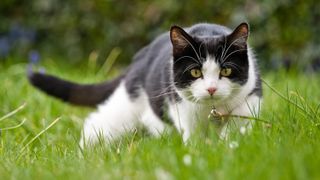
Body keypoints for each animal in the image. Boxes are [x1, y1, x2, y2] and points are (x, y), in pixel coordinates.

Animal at [28, 21, 262, 147]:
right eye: (195, 72)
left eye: (226, 70)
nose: (211, 89)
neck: (212, 109)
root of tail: (139, 58)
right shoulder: (182, 108)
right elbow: (193, 136)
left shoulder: (251, 95)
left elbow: (240, 122)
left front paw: (230, 144)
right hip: (127, 105)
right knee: (97, 122)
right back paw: (84, 152)